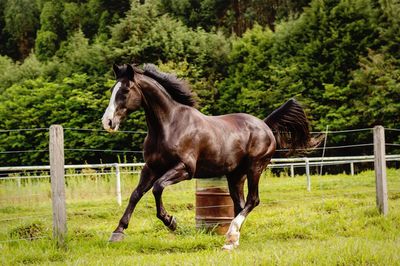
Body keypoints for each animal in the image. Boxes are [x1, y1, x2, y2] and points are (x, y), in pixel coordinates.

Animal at [101, 63, 320, 250]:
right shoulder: (151, 168)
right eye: (113, 90)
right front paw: (118, 232)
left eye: (125, 91)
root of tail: (264, 125)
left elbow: (157, 188)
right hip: (235, 176)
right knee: (240, 204)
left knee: (253, 200)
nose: (108, 122)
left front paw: (171, 222)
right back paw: (233, 239)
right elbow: (136, 194)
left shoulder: (184, 169)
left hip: (255, 168)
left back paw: (231, 236)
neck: (169, 125)